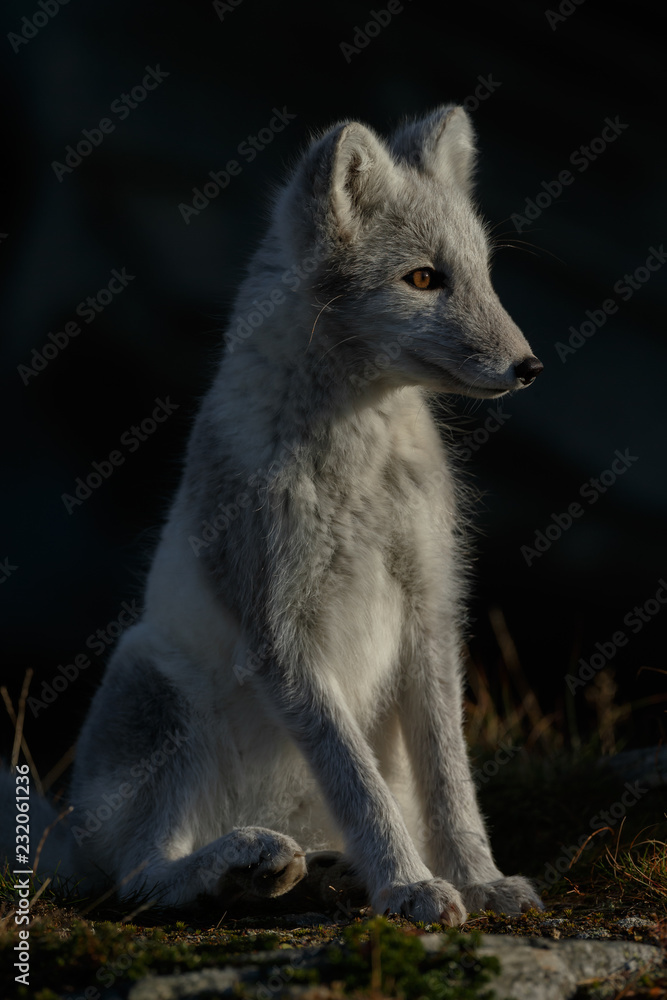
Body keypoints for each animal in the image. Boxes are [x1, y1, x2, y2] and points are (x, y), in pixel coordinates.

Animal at [4, 105, 544, 924]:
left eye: (484, 273)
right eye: (423, 279)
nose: (528, 367)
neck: (357, 455)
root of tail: (65, 831)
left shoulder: (430, 613)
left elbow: (449, 785)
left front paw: (477, 880)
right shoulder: (281, 635)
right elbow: (358, 785)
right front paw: (409, 885)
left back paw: (320, 871)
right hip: (160, 698)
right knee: (139, 880)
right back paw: (246, 865)